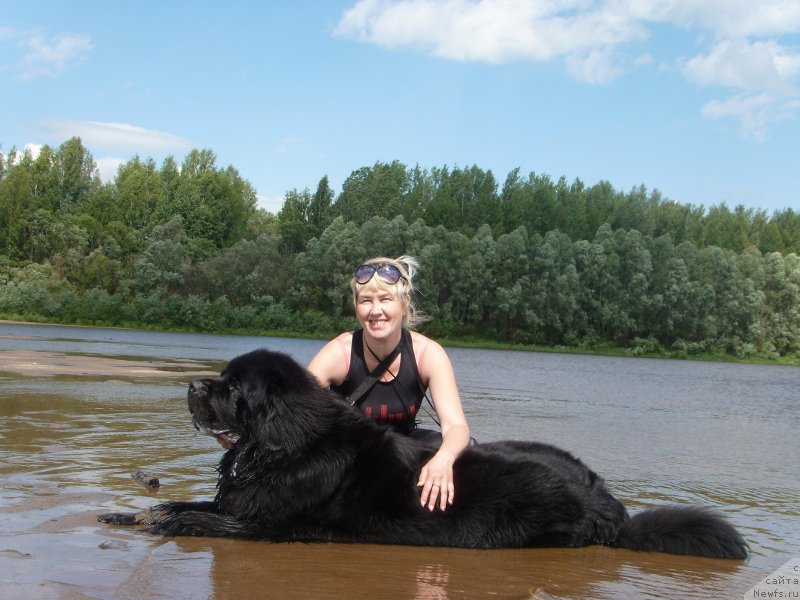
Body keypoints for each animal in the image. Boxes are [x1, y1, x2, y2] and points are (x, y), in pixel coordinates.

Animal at [98, 346, 744, 556]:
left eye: (234, 389)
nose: (191, 386)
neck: (283, 447)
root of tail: (612, 506)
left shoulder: (267, 524)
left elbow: (200, 519)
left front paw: (164, 520)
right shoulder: (238, 499)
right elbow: (188, 502)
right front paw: (127, 511)